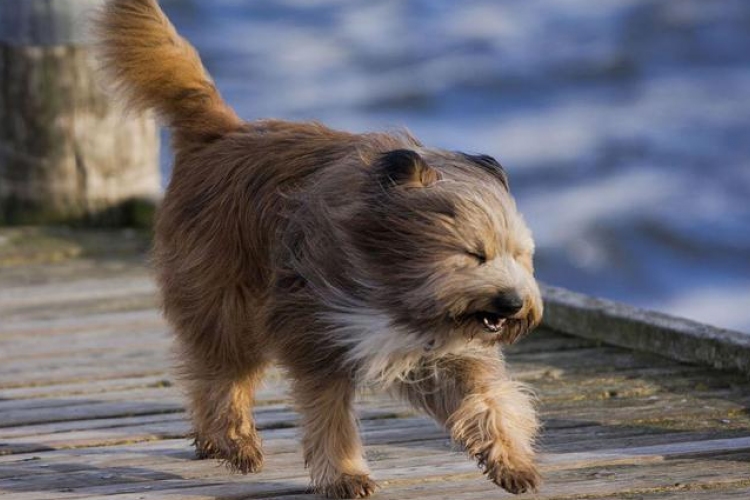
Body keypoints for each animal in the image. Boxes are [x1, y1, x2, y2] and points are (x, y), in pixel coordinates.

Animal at [98, 0, 548, 496]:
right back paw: (234, 441)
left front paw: (510, 460)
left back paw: (215, 441)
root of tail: (223, 133)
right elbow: (330, 418)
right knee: (221, 376)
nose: (513, 303)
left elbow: (488, 398)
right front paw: (346, 474)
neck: (392, 281)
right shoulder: (318, 333)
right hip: (226, 303)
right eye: (474, 254)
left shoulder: (443, 353)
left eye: (521, 256)